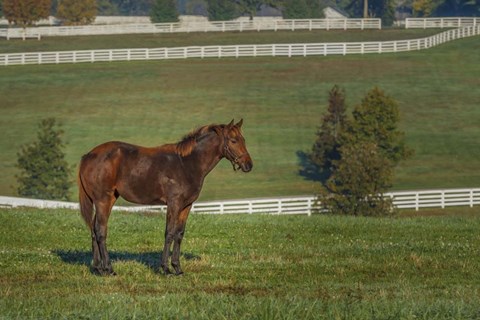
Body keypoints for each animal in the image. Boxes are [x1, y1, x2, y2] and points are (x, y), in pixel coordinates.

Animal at [78, 120, 251, 276]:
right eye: (234, 140)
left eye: (243, 139)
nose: (249, 165)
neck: (187, 164)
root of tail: (88, 155)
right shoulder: (174, 204)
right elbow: (169, 233)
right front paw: (166, 269)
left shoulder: (186, 206)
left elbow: (179, 234)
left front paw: (177, 268)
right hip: (103, 201)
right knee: (100, 231)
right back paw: (109, 269)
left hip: (107, 200)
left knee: (94, 230)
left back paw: (98, 268)